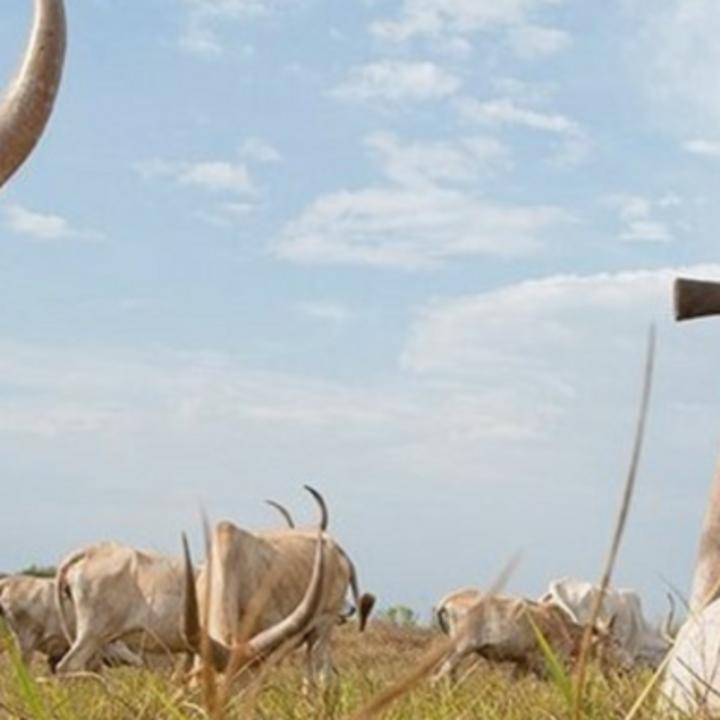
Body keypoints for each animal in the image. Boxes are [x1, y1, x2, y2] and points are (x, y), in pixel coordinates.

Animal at [432, 593, 619, 683]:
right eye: (610, 641)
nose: (614, 669)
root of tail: (446, 602)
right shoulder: (552, 663)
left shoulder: (523, 663)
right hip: (461, 650)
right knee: (438, 676)